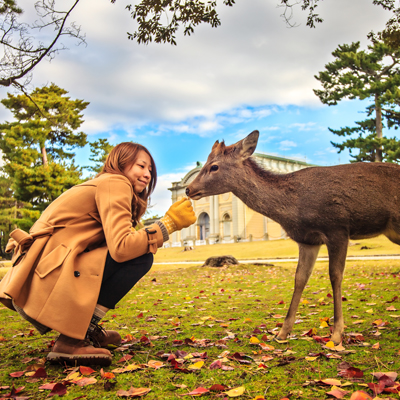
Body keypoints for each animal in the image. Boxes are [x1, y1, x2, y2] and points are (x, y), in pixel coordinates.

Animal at [186, 131, 400, 344]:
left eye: (214, 166)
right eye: (206, 161)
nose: (188, 189)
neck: (294, 208)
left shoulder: (338, 228)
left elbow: (335, 276)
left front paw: (337, 333)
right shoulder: (307, 240)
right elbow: (300, 277)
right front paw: (282, 332)